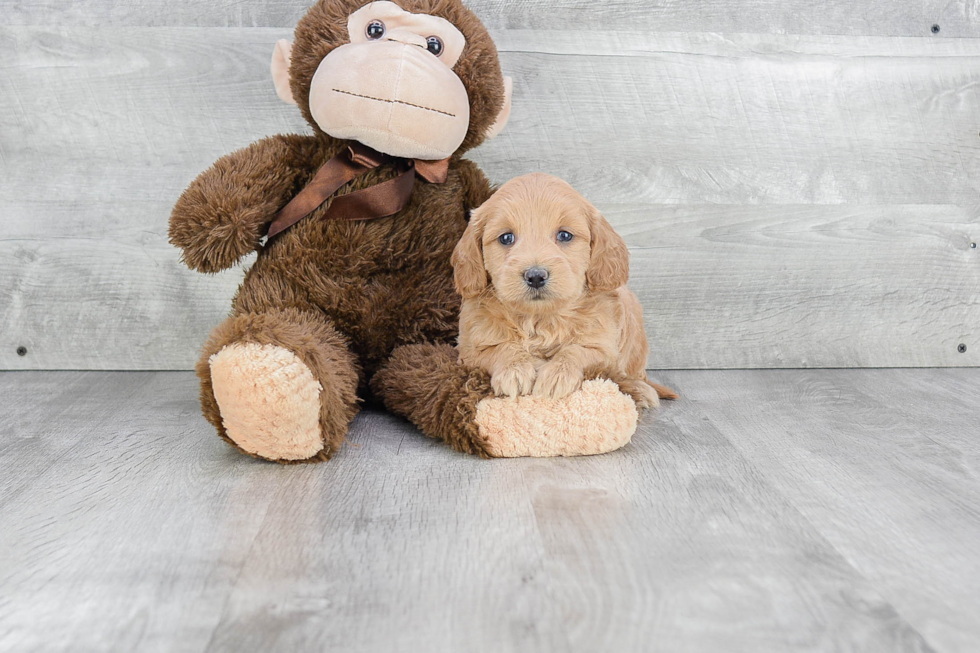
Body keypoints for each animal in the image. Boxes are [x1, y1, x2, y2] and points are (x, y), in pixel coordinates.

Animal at [450, 173, 672, 408]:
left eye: (565, 235)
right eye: (506, 238)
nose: (535, 276)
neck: (539, 319)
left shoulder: (604, 348)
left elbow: (578, 350)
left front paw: (557, 374)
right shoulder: (469, 350)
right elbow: (501, 348)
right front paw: (515, 369)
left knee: (631, 374)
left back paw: (640, 390)